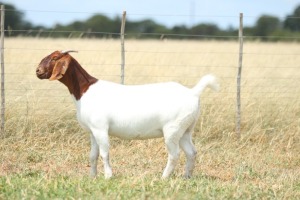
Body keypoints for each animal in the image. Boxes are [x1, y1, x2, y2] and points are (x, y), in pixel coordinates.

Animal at [36, 50, 219, 178]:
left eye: (54, 58)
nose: (37, 71)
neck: (84, 90)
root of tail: (193, 92)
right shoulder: (92, 132)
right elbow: (93, 155)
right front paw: (92, 177)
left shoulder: (100, 129)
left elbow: (104, 153)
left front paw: (108, 176)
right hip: (185, 130)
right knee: (191, 152)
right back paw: (186, 176)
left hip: (172, 129)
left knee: (174, 155)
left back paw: (164, 177)